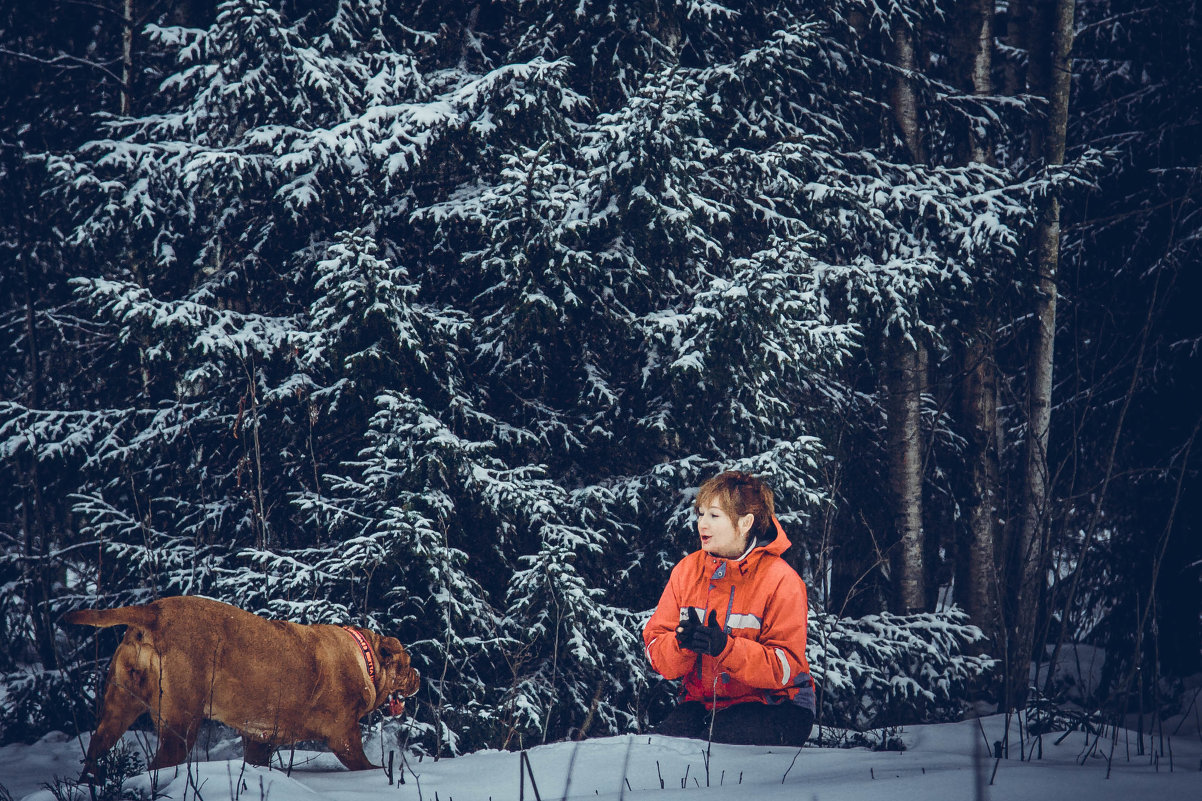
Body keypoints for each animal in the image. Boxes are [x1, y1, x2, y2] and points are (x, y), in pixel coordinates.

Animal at [68, 591, 423, 774]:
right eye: (408, 664)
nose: (419, 677)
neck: (368, 661)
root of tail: (154, 611)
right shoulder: (344, 734)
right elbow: (364, 764)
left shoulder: (260, 737)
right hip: (181, 721)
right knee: (162, 762)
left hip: (119, 706)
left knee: (96, 748)